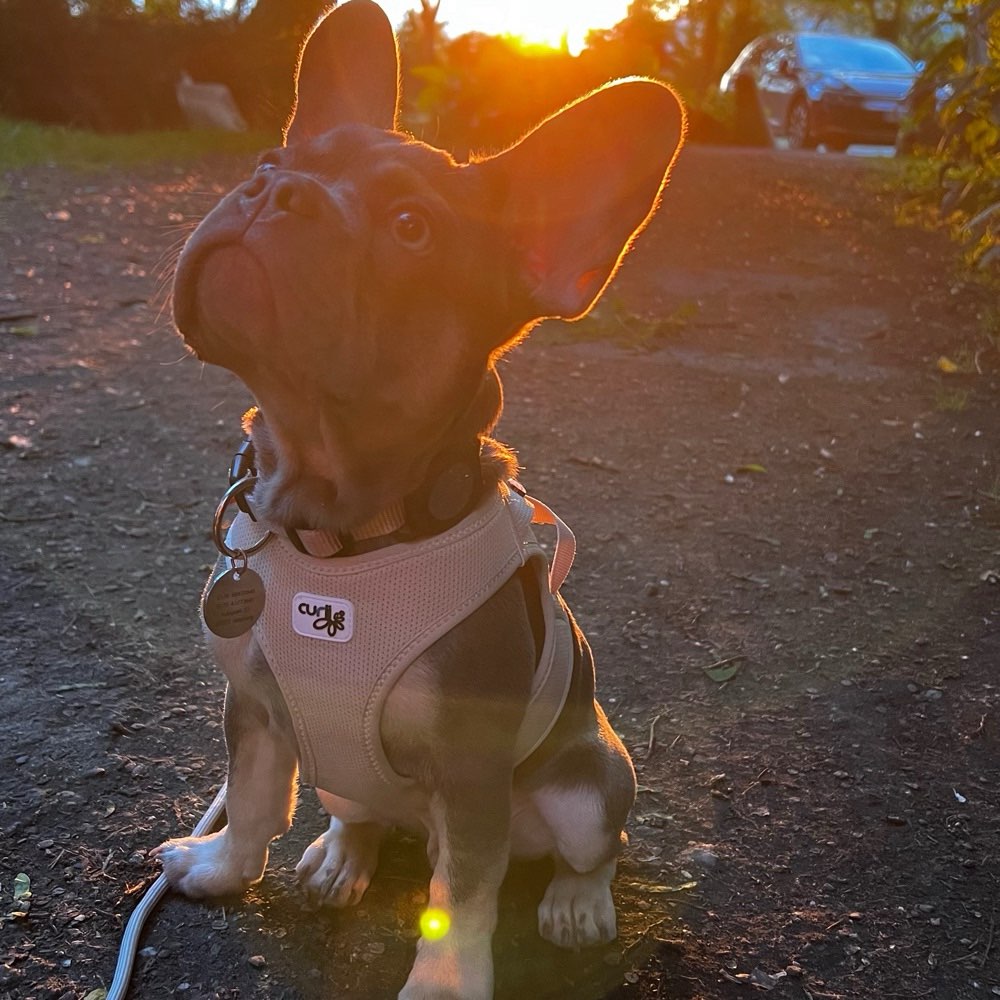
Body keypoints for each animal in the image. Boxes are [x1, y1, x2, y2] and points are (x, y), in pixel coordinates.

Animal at [156, 3, 688, 996]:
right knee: (354, 808)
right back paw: (342, 854)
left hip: (593, 776)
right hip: (347, 775)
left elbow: (466, 893)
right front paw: (221, 867)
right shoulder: (253, 706)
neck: (341, 532)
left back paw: (576, 902)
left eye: (411, 228)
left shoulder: (470, 766)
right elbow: (252, 797)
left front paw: (444, 982)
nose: (279, 196)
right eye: (266, 165)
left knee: (592, 845)